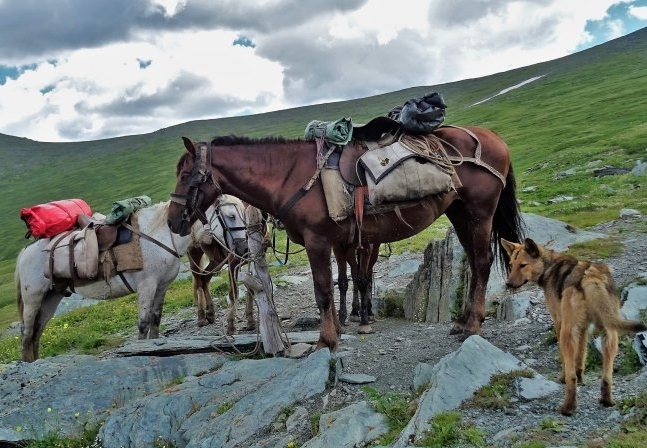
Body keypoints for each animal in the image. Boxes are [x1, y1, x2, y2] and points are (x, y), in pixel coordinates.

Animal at [15, 196, 248, 360]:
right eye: (231, 215)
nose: (244, 249)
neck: (161, 235)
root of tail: (23, 253)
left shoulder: (161, 286)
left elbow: (155, 319)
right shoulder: (147, 286)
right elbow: (143, 323)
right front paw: (141, 349)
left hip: (51, 296)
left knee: (37, 332)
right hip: (33, 298)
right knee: (27, 333)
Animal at [168, 126, 528, 350]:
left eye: (186, 175)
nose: (172, 220)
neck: (292, 175)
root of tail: (493, 138)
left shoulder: (318, 242)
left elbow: (324, 290)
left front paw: (326, 340)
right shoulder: (338, 245)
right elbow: (342, 282)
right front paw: (341, 327)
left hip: (480, 212)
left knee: (482, 261)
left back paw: (473, 324)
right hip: (460, 213)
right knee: (474, 262)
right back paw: (463, 320)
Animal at [502, 238, 644, 416]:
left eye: (523, 265)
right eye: (511, 264)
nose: (508, 284)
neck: (548, 266)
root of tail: (590, 275)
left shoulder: (560, 322)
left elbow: (566, 361)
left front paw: (563, 377)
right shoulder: (583, 327)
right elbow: (580, 356)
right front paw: (581, 374)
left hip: (567, 334)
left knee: (572, 378)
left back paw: (568, 407)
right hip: (609, 332)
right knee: (607, 375)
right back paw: (607, 400)